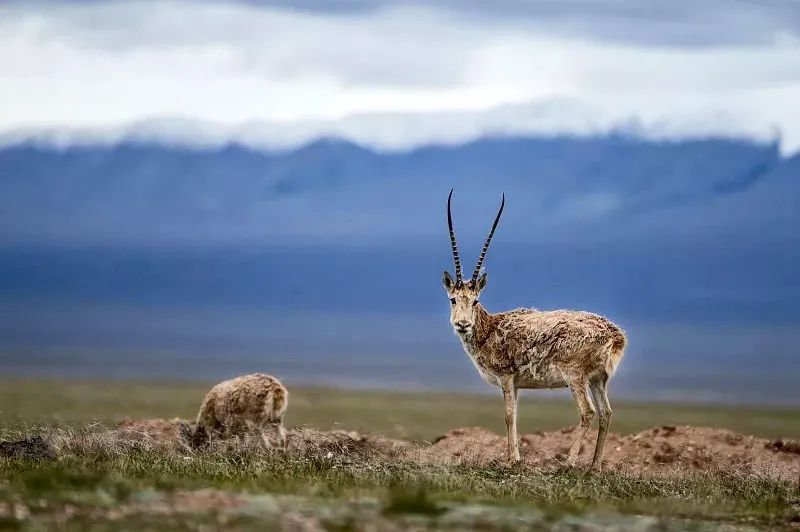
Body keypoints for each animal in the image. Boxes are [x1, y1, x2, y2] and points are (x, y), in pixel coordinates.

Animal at [444, 190, 624, 470]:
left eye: (475, 300)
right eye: (453, 299)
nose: (462, 324)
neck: (490, 328)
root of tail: (614, 335)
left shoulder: (506, 377)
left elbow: (508, 415)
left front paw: (512, 461)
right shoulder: (517, 384)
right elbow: (515, 414)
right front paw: (514, 458)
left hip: (575, 376)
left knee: (588, 412)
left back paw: (568, 464)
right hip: (598, 379)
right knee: (606, 413)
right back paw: (594, 467)